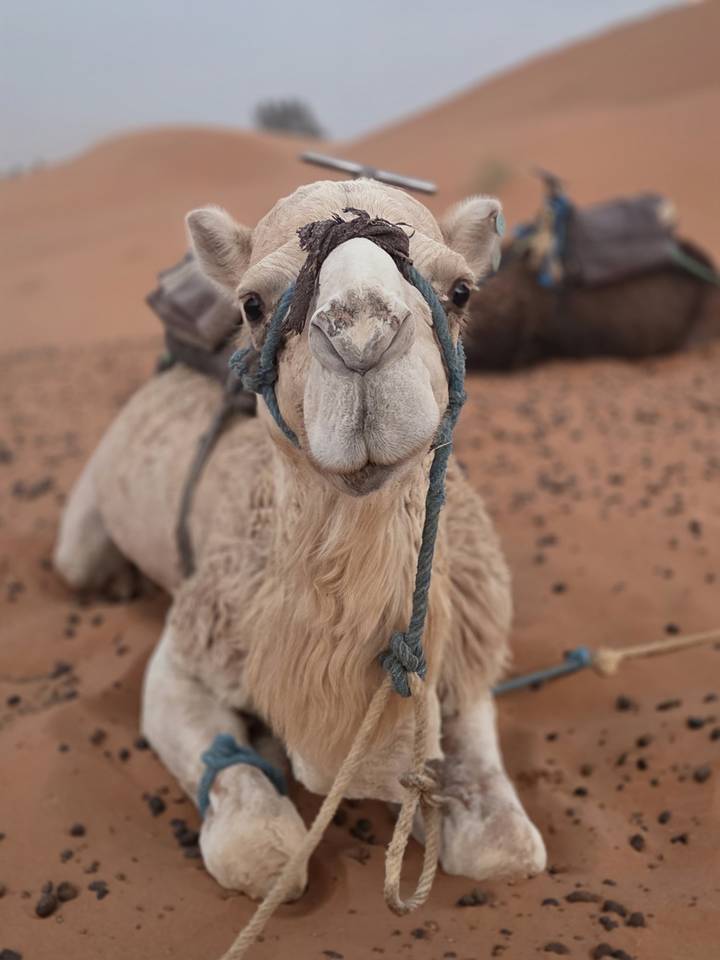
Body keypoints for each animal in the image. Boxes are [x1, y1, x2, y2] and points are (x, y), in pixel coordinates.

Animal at [53, 179, 546, 901]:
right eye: (252, 305)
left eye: (460, 291)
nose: (363, 337)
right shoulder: (187, 653)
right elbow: (261, 852)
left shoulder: (466, 650)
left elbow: (506, 847)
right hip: (86, 521)